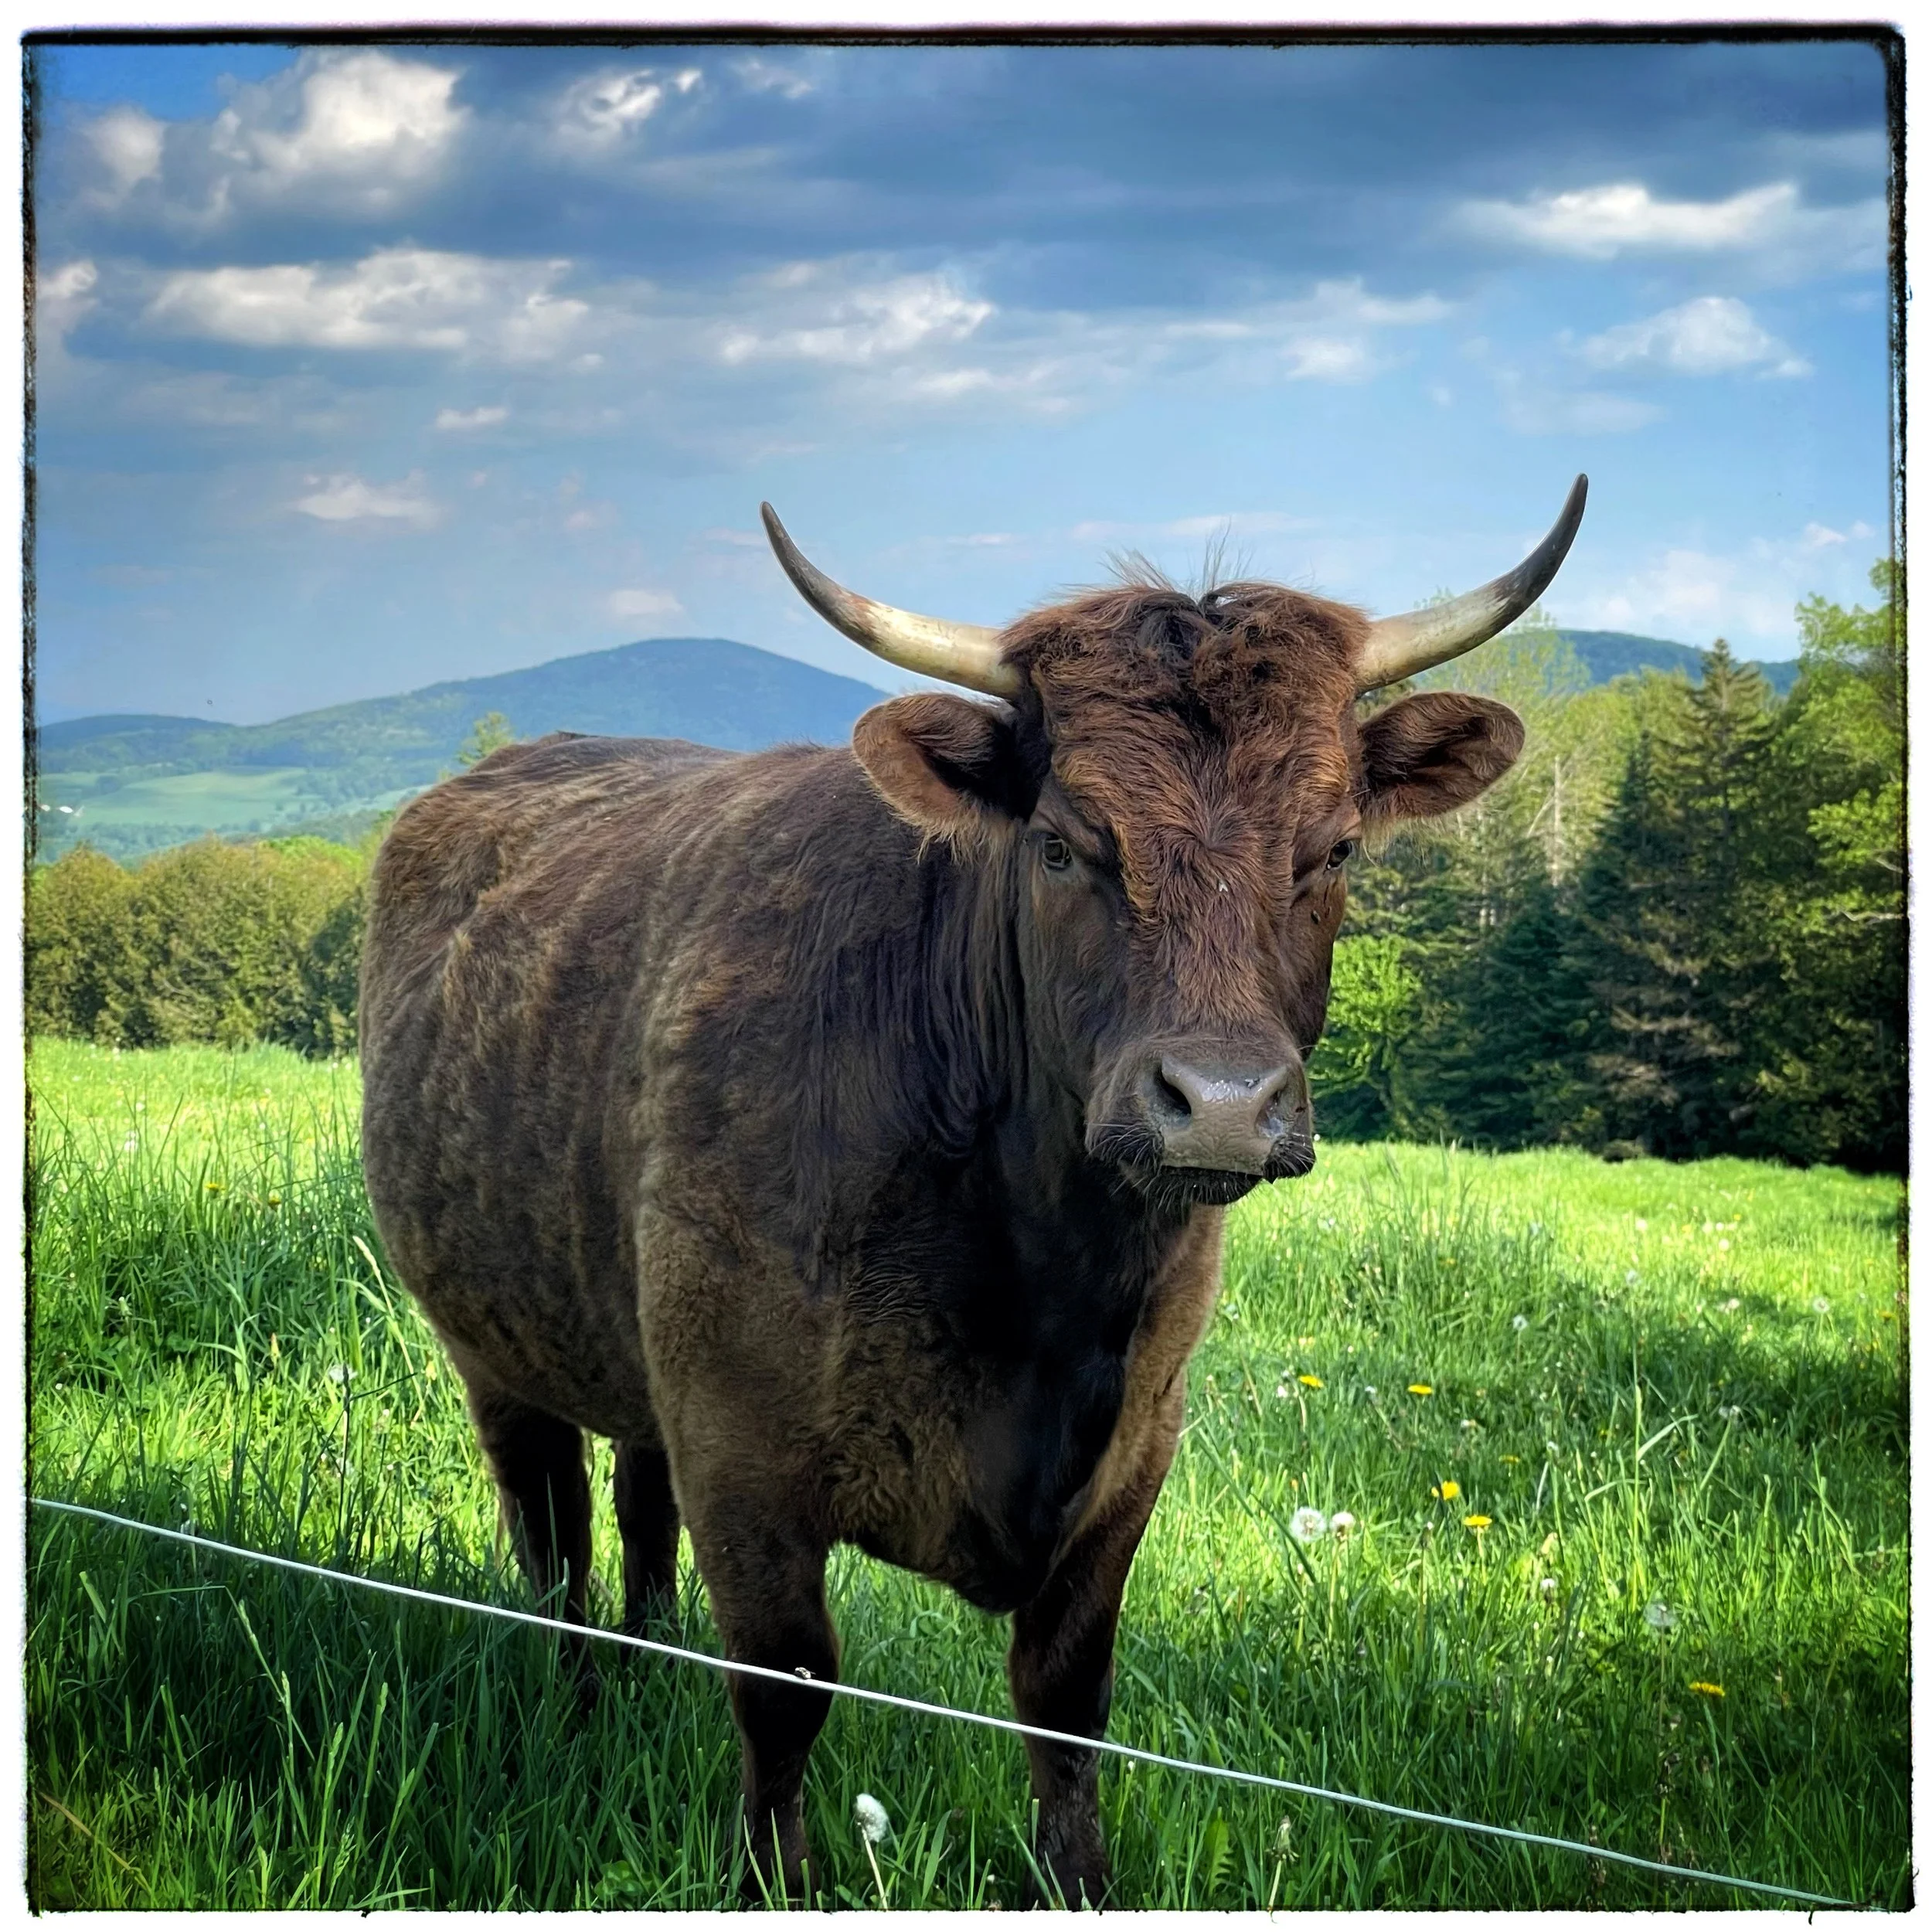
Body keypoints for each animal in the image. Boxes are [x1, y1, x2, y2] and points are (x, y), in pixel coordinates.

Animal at [358, 477, 1586, 1905]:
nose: (1223, 1101)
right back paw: (584, 1708)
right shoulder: (743, 1447)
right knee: (553, 1541)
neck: (1041, 1272)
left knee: (634, 1506)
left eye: (1334, 850)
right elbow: (784, 1686)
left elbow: (1068, 1696)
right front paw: (777, 1880)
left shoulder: (1134, 1451)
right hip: (494, 1349)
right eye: (1062, 847)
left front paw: (1081, 1881)